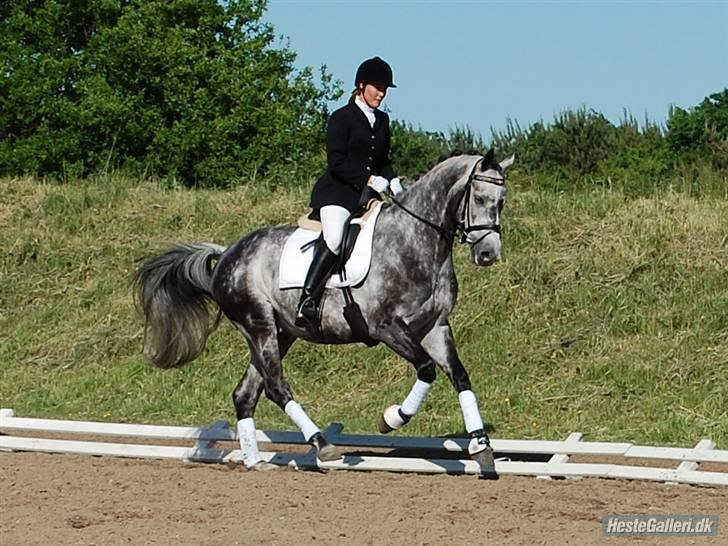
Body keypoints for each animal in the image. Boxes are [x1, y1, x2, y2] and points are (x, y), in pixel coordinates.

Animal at [135, 150, 512, 476]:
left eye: (502, 202)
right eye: (479, 198)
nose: (489, 254)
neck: (416, 241)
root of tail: (228, 253)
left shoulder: (434, 327)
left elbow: (459, 376)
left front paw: (481, 447)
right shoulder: (386, 327)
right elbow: (427, 370)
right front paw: (392, 418)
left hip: (279, 332)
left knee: (246, 393)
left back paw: (256, 461)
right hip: (259, 325)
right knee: (275, 387)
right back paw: (321, 444)